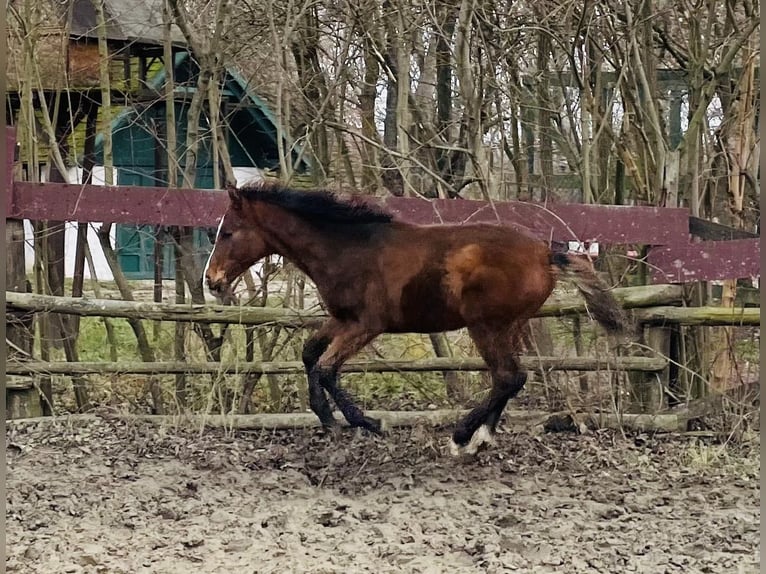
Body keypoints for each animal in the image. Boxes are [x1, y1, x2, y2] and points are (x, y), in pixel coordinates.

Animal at [206, 182, 632, 456]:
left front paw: (367, 423)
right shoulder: (342, 319)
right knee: (511, 377)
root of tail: (545, 254)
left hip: (486, 325)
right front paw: (327, 419)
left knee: (508, 376)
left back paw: (462, 437)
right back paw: (480, 438)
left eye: (227, 233)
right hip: (510, 325)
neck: (348, 249)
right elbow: (310, 355)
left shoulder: (366, 325)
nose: (212, 281)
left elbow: (326, 369)